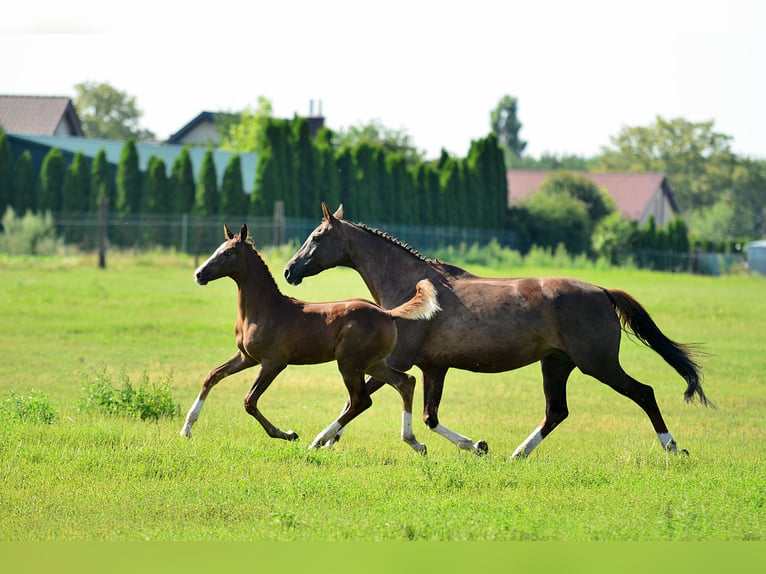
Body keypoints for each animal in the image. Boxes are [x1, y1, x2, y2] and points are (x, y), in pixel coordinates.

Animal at [181, 223, 440, 452]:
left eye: (227, 252)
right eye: (217, 249)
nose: (199, 274)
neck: (264, 309)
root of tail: (388, 313)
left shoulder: (274, 363)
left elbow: (249, 401)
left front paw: (288, 434)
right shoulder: (247, 357)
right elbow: (212, 376)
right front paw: (187, 429)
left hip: (349, 364)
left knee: (360, 400)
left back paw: (318, 440)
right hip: (372, 363)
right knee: (405, 382)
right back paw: (415, 443)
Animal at [284, 205, 712, 462]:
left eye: (317, 237)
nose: (289, 270)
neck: (412, 289)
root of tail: (603, 292)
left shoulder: (397, 360)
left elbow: (366, 401)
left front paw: (320, 439)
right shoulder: (432, 367)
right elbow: (426, 415)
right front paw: (477, 445)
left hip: (599, 364)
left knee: (644, 393)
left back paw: (673, 448)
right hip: (556, 364)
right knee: (556, 412)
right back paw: (517, 454)